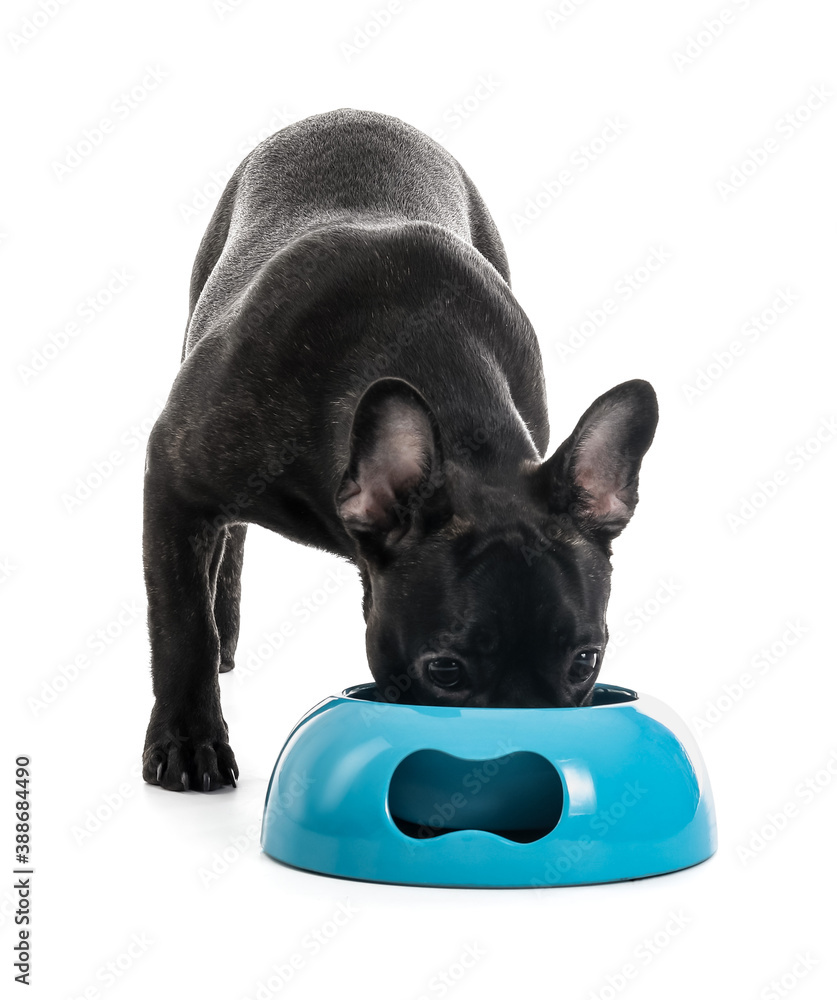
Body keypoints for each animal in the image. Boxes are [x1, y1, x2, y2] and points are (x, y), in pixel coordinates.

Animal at [140, 109, 656, 792]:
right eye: (445, 671)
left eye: (585, 661)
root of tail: (349, 113)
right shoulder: (175, 481)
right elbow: (181, 623)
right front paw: (187, 739)